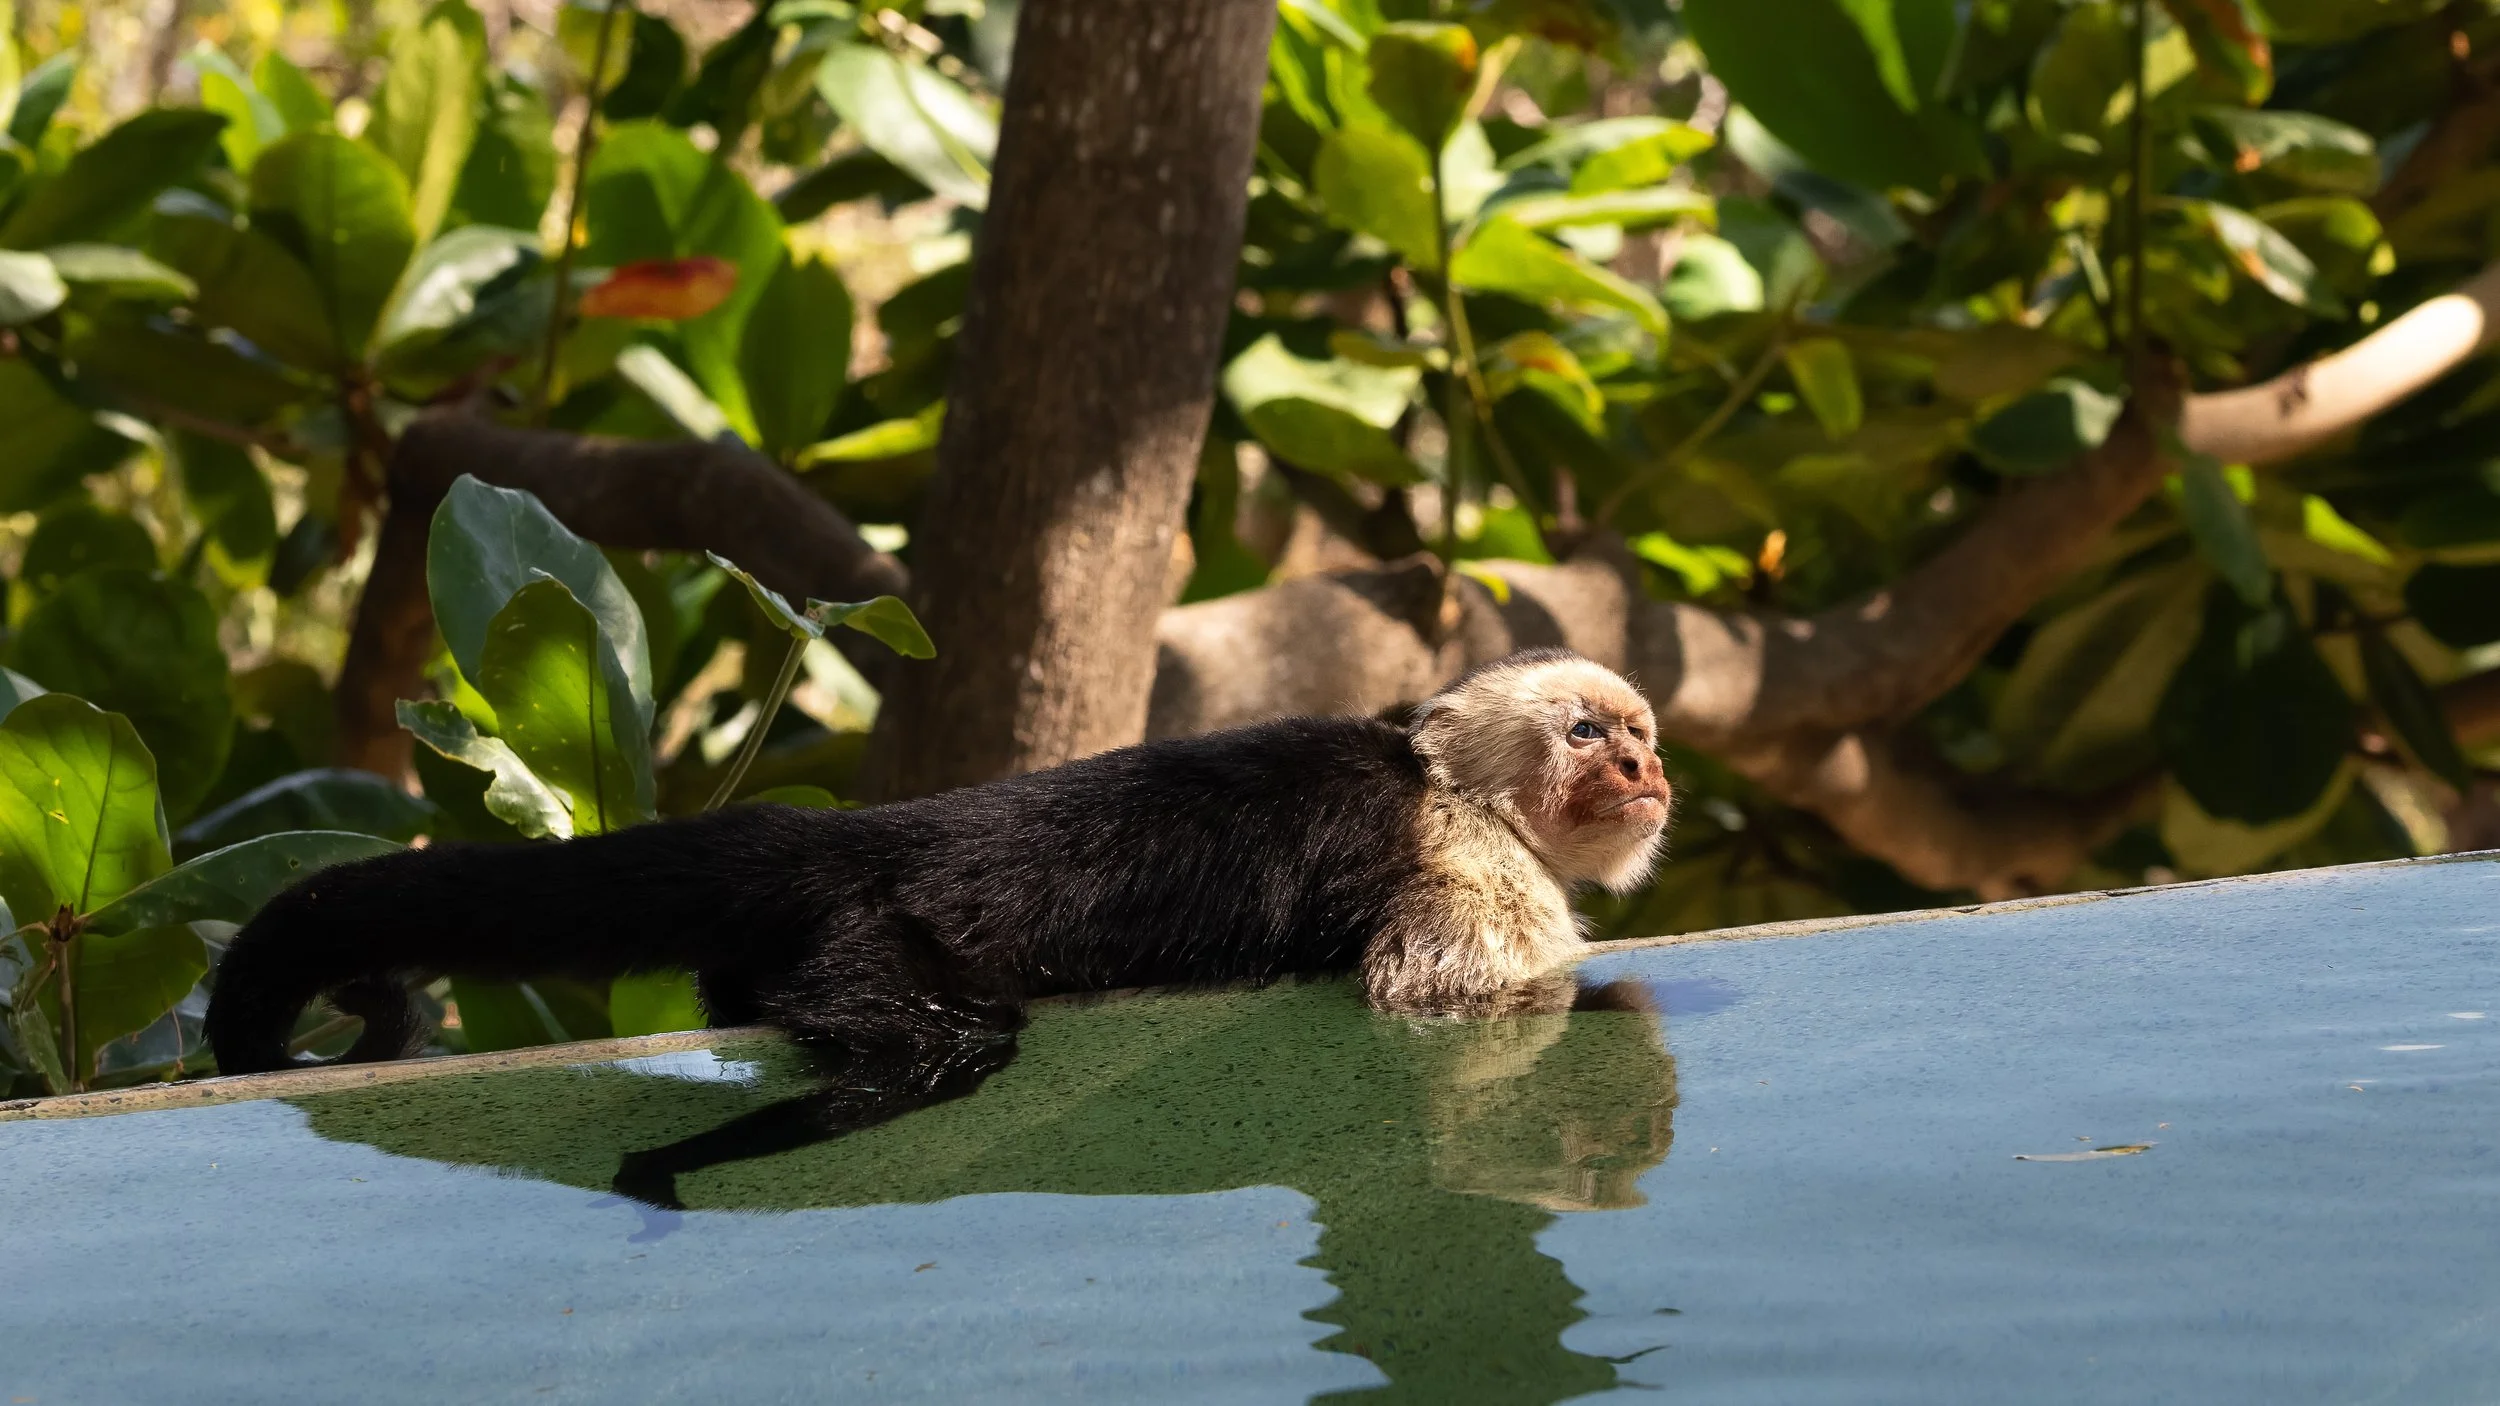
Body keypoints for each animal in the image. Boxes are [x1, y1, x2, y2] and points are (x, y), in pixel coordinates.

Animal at [205, 649, 1674, 1155]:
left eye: (1642, 735)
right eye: (1593, 732)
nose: (1650, 775)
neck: (1454, 787)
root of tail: (858, 831)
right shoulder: (1458, 858)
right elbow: (1447, 996)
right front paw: (1610, 1007)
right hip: (879, 933)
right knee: (940, 1043)